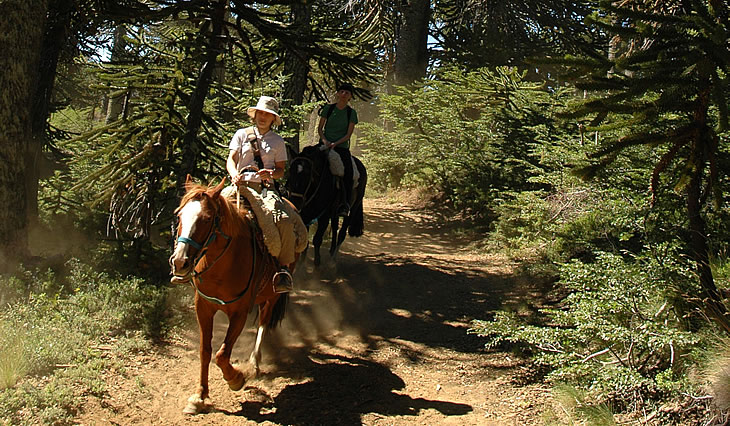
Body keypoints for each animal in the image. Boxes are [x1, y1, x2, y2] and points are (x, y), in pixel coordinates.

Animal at [168, 175, 292, 414]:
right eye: (179, 215)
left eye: (207, 219)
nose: (179, 262)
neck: (223, 265)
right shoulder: (203, 307)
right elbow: (206, 351)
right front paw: (199, 396)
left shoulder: (239, 312)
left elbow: (222, 354)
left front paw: (235, 378)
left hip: (273, 295)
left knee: (264, 321)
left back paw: (254, 363)